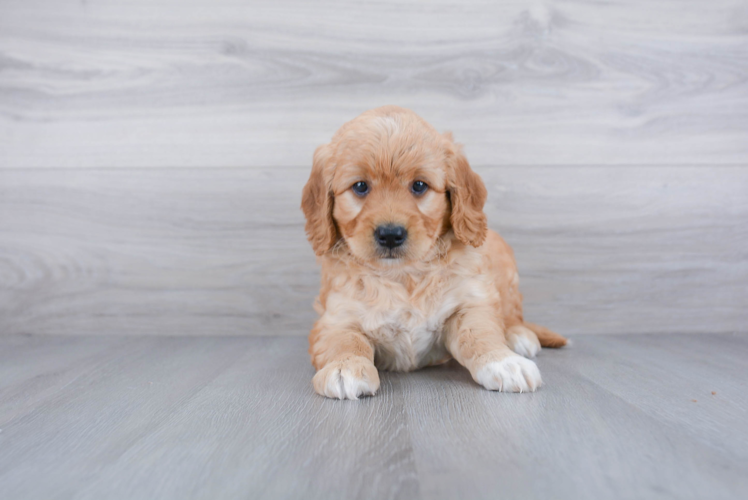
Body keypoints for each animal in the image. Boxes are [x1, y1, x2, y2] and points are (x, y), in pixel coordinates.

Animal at [300, 105, 564, 398]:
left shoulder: (469, 301)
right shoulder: (335, 317)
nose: (390, 234)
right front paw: (344, 367)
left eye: (419, 185)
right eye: (360, 186)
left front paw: (504, 362)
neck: (403, 275)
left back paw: (518, 336)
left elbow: (480, 331)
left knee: (511, 314)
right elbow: (344, 340)